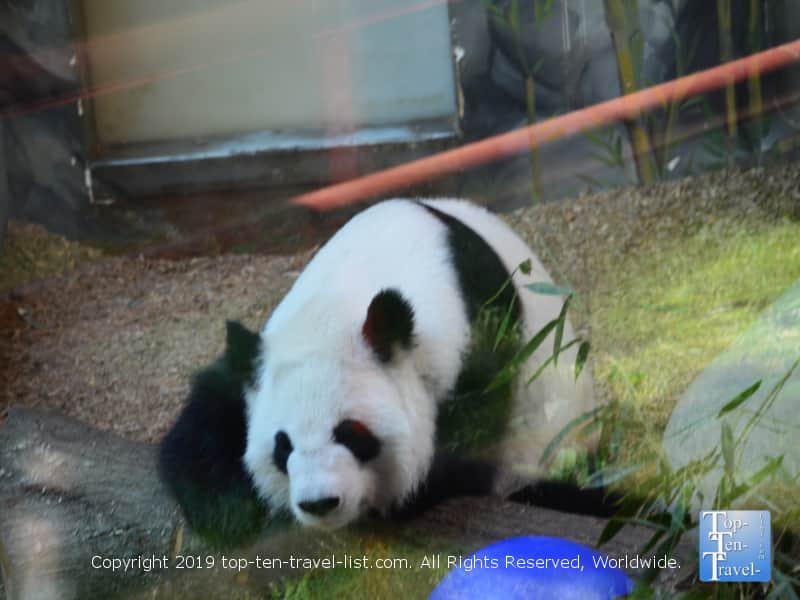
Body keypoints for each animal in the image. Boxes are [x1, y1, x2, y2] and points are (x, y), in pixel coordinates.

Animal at [159, 198, 602, 544]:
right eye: (282, 445)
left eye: (351, 433)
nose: (320, 503)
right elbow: (214, 404)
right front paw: (227, 509)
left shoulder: (480, 338)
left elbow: (470, 438)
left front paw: (407, 496)